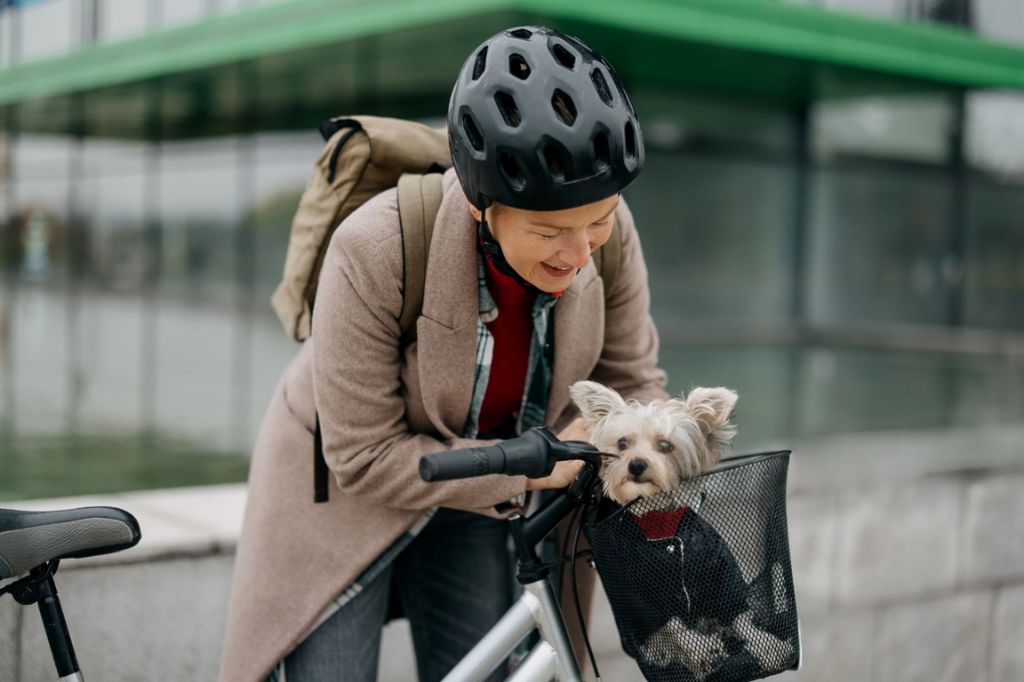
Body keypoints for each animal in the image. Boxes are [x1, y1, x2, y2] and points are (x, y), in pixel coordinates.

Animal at [573, 378, 794, 675]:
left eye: (665, 445)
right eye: (622, 443)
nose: (636, 464)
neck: (661, 528)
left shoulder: (721, 575)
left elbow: (740, 617)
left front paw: (768, 645)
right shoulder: (638, 597)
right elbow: (674, 627)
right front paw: (701, 653)